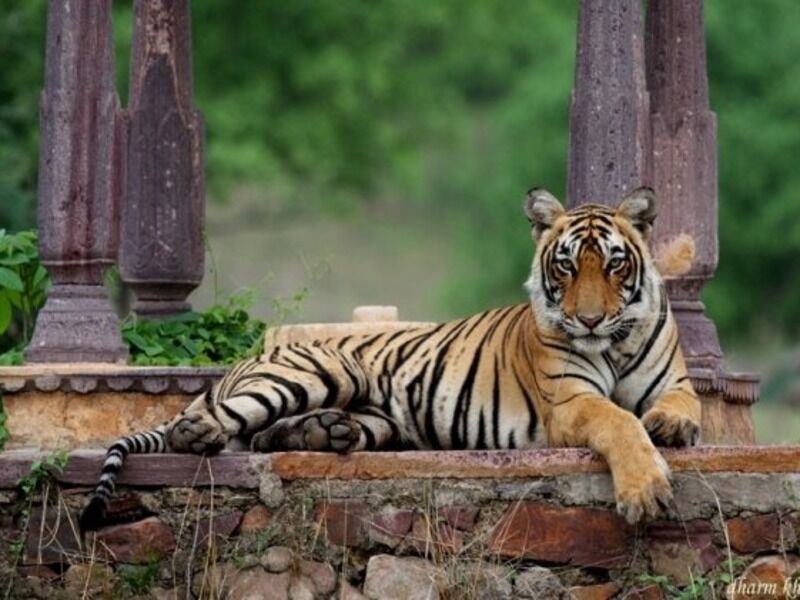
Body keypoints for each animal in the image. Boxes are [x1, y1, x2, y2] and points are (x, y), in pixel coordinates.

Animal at [80, 186, 700, 531]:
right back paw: (204, 434)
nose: (589, 320)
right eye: (567, 266)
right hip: (317, 371)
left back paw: (323, 434)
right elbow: (619, 422)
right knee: (206, 425)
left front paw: (672, 428)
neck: (614, 343)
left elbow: (678, 407)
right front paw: (647, 491)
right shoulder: (570, 402)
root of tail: (250, 356)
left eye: (615, 264)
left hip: (377, 418)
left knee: (263, 437)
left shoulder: (674, 382)